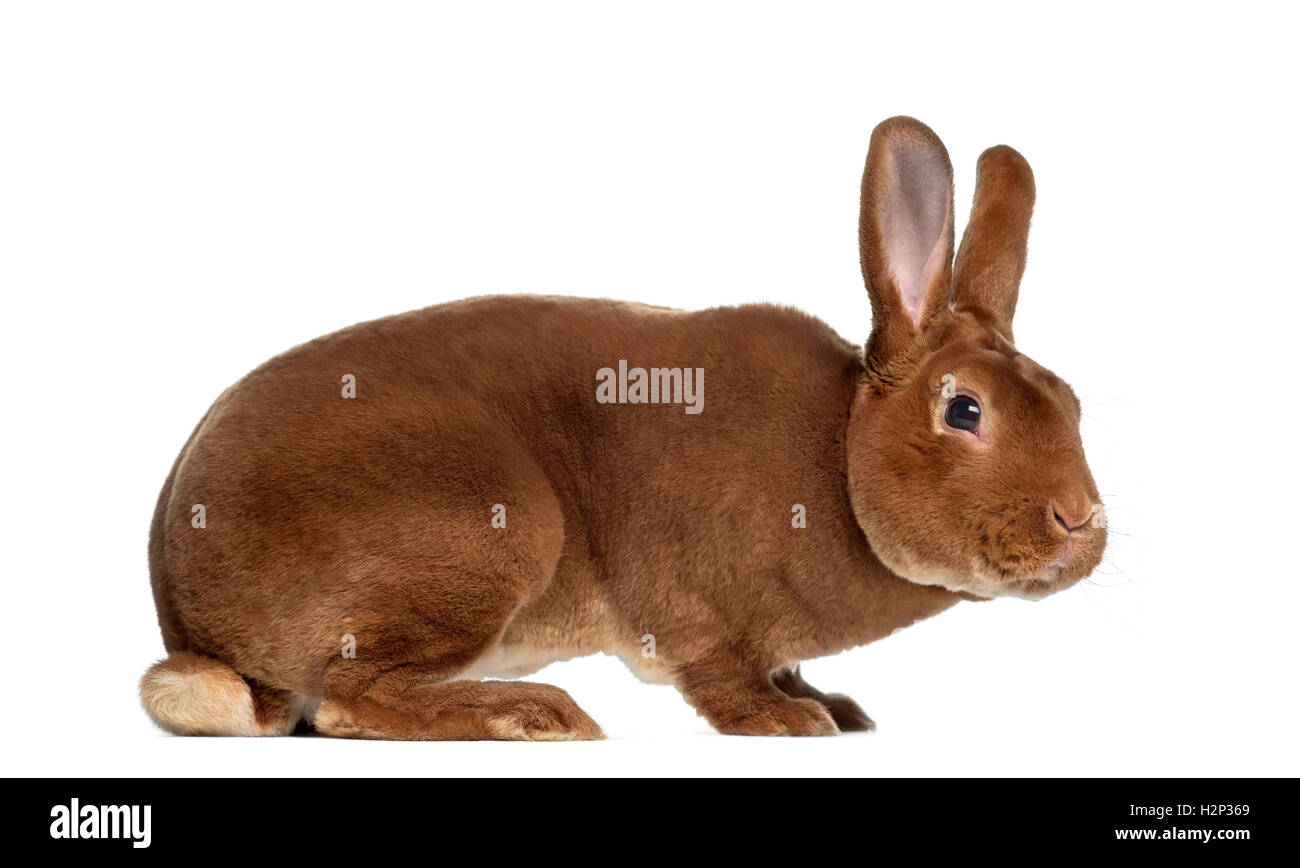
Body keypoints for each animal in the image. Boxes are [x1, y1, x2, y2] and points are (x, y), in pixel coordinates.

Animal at [140, 116, 1105, 739]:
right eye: (964, 409)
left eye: (1072, 401)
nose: (1081, 522)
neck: (836, 456)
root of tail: (183, 612)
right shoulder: (700, 615)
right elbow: (723, 676)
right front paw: (788, 721)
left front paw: (834, 706)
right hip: (489, 533)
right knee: (349, 698)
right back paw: (537, 716)